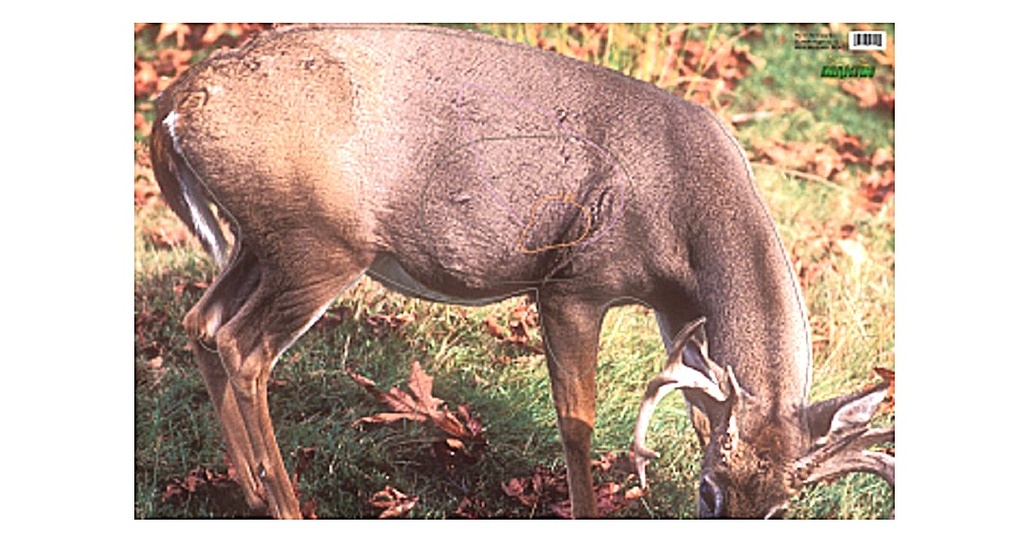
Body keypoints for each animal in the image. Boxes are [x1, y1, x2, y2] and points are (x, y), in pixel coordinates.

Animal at [149, 24, 894, 519]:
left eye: (777, 508)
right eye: (709, 492)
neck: (689, 209)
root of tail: (177, 101)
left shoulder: (676, 310)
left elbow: (695, 412)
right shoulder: (574, 283)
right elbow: (578, 423)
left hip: (262, 241)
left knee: (202, 319)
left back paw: (250, 488)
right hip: (320, 242)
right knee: (244, 347)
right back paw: (287, 505)